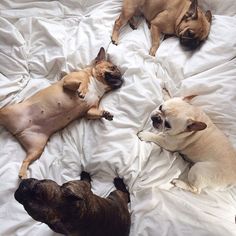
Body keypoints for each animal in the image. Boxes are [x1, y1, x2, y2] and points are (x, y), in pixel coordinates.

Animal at [0, 48, 123, 180]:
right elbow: (83, 81)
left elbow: (94, 112)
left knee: (26, 160)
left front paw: (105, 113)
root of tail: (16, 131)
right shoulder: (68, 80)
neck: (97, 85)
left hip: (37, 148)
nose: (122, 76)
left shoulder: (90, 110)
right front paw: (83, 89)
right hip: (6, 111)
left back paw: (23, 173)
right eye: (113, 67)